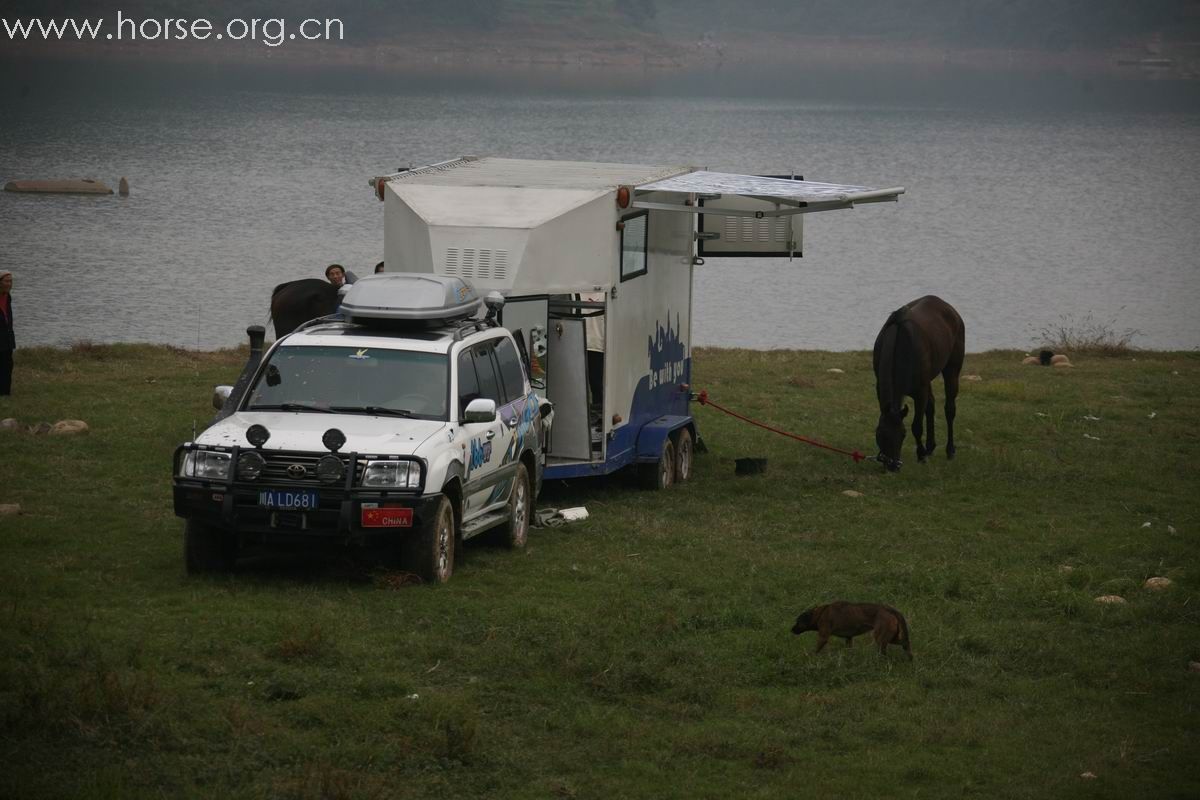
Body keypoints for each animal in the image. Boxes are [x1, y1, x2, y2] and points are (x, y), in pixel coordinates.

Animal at [873, 293, 964, 470]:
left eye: (903, 434)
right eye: (880, 434)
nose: (892, 465)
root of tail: (950, 309)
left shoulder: (920, 391)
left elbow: (916, 426)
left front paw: (921, 455)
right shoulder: (880, 387)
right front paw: (924, 452)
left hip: (952, 369)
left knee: (949, 409)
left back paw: (949, 450)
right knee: (931, 406)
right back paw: (930, 447)